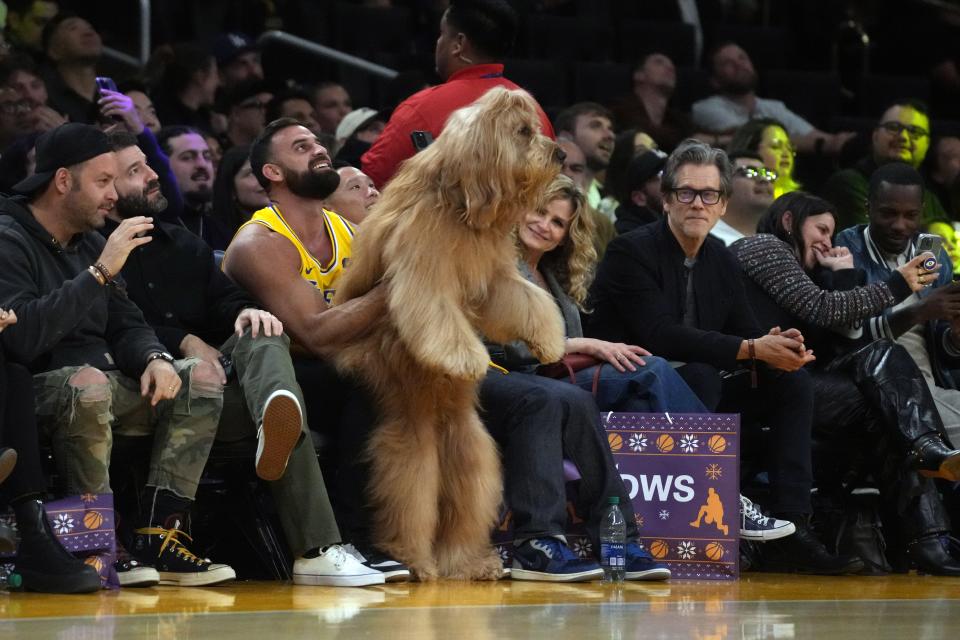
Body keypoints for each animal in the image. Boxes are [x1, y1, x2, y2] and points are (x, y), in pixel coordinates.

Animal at [334, 86, 568, 580]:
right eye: (523, 131)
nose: (560, 153)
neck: (459, 202)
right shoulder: (423, 266)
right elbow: (434, 312)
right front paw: (463, 356)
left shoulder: (494, 277)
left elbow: (528, 300)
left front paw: (548, 338)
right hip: (412, 427)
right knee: (410, 488)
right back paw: (417, 559)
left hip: (468, 441)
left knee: (467, 490)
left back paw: (466, 560)